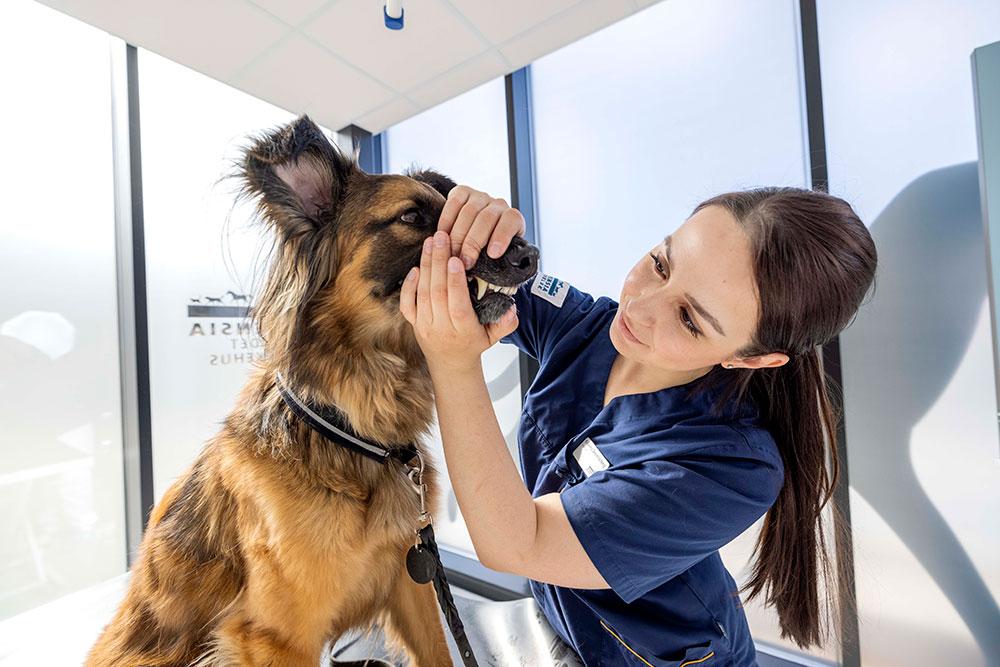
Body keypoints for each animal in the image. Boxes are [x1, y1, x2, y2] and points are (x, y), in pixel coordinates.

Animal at [86, 116, 540, 667]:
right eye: (412, 216)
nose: (530, 255)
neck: (350, 432)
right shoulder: (277, 635)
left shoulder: (411, 579)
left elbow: (440, 653)